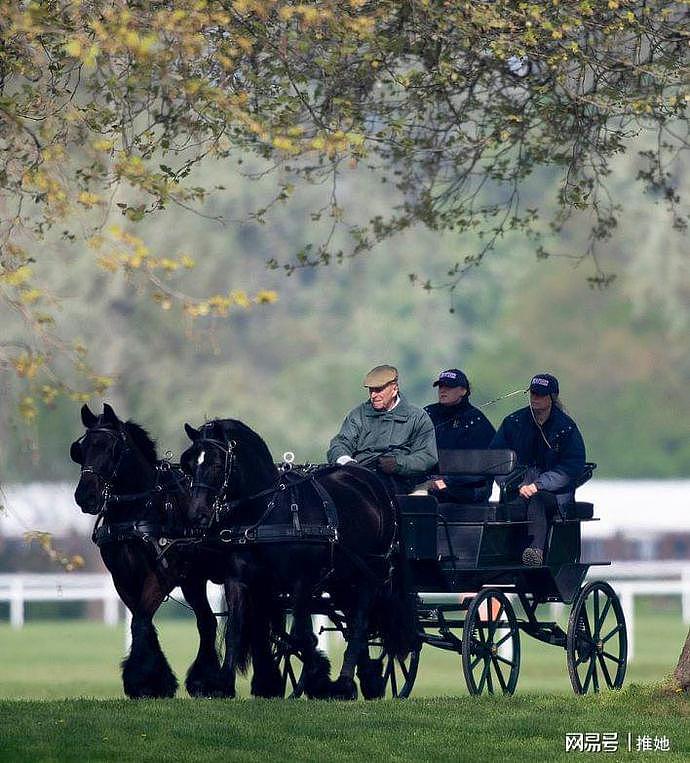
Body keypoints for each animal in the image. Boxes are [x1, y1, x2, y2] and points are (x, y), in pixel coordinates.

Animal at [70, 406, 231, 700]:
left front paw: (143, 679)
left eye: (110, 448)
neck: (138, 509)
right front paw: (156, 680)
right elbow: (142, 621)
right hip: (193, 580)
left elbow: (141, 621)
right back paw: (206, 681)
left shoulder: (163, 574)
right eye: (81, 449)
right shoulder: (122, 578)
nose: (85, 496)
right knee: (207, 622)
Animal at [180, 420, 416, 700]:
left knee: (360, 624)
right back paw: (367, 679)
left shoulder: (301, 584)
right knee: (354, 625)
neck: (267, 512)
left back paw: (345, 683)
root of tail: (379, 487)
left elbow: (300, 637)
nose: (196, 515)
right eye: (189, 463)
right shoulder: (243, 581)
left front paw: (317, 676)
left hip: (370, 574)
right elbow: (239, 631)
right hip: (343, 581)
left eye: (217, 463)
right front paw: (226, 684)